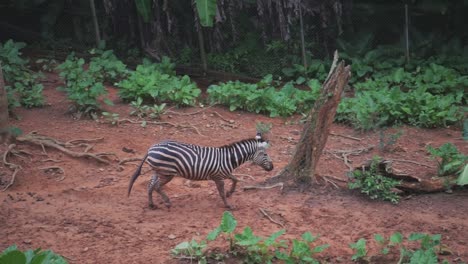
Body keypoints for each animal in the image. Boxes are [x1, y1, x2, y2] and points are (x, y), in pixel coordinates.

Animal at [128, 133, 274, 209]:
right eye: (265, 154)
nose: (272, 167)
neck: (229, 158)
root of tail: (151, 148)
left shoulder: (224, 173)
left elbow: (235, 179)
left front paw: (230, 192)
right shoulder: (218, 177)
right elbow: (221, 192)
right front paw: (228, 205)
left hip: (158, 171)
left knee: (150, 185)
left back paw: (151, 204)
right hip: (167, 173)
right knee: (157, 186)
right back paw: (167, 202)